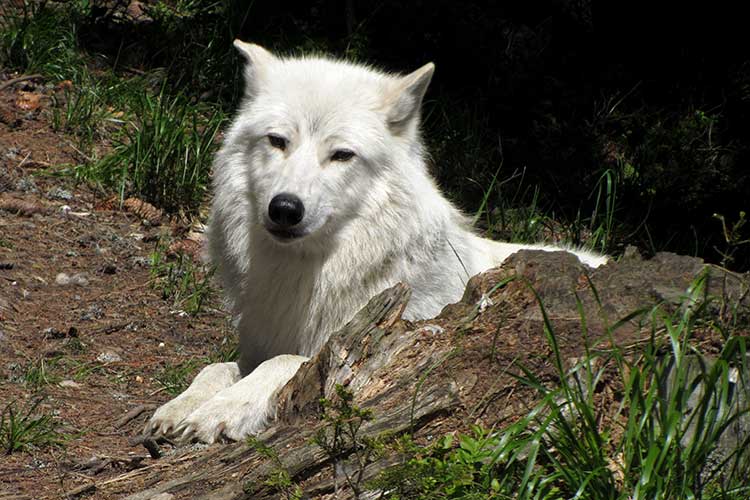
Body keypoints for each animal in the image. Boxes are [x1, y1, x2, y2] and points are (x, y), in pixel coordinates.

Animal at [147, 42, 612, 442]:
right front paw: (180, 408)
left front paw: (218, 411)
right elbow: (216, 366)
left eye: (341, 155)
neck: (310, 275)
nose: (285, 208)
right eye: (277, 141)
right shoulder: (256, 345)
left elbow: (286, 362)